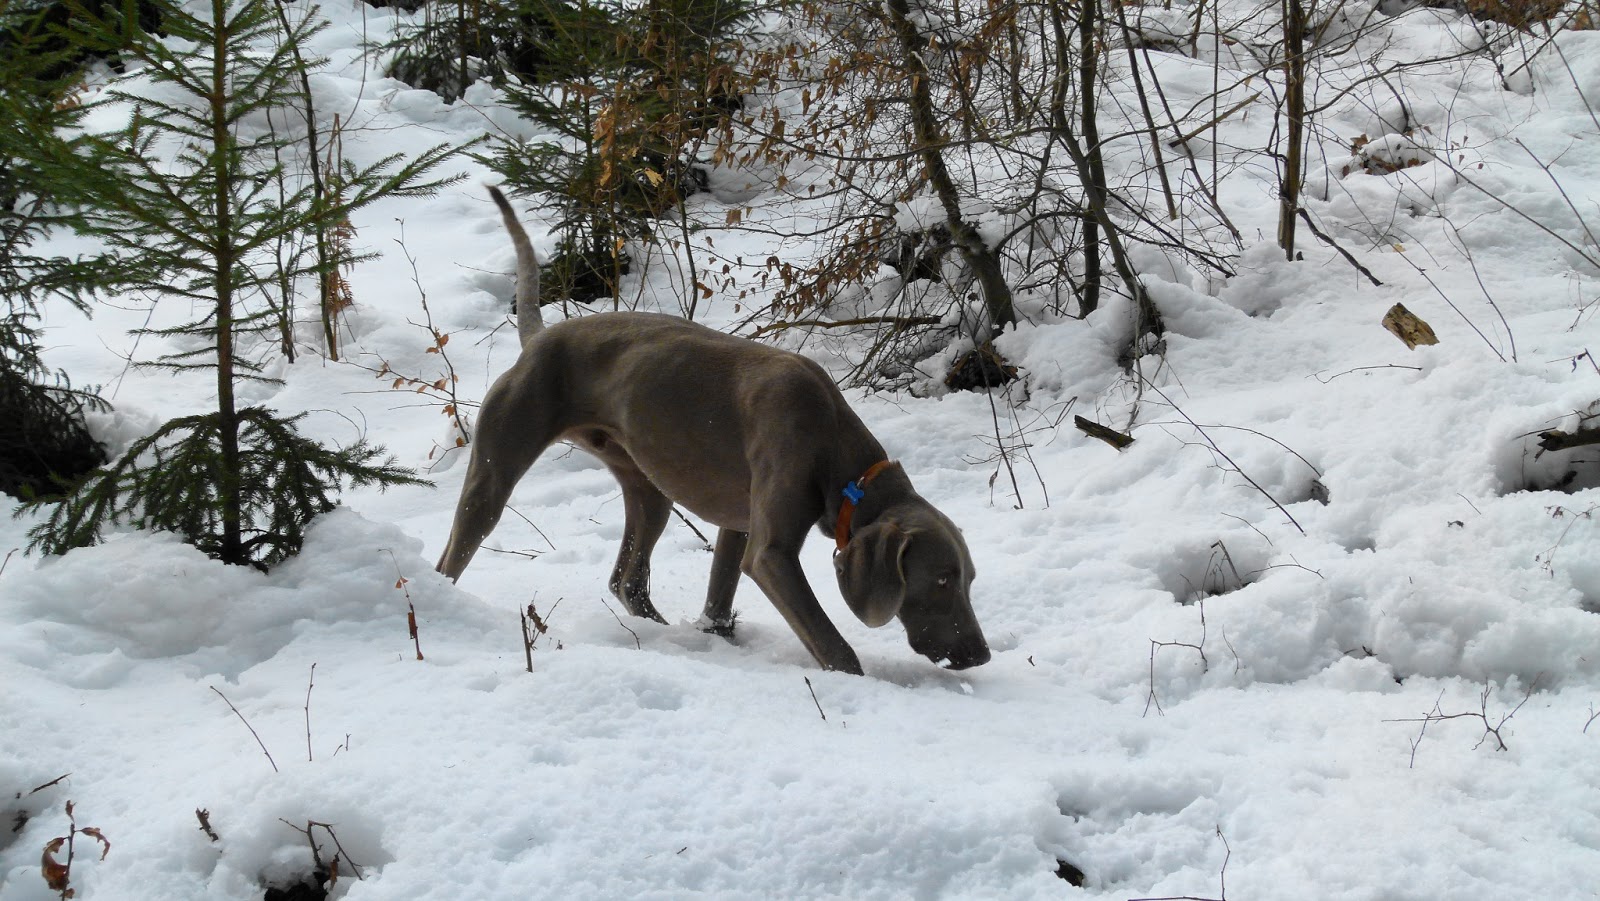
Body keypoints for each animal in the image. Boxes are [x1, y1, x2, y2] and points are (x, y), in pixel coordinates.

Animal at [435, 187, 990, 675]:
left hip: (648, 488)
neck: (837, 448)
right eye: (942, 579)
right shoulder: (770, 554)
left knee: (627, 581)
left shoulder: (737, 523)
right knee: (453, 557)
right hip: (495, 471)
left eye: (969, 580)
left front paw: (716, 638)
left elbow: (719, 599)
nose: (981, 655)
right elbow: (832, 644)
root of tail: (539, 338)